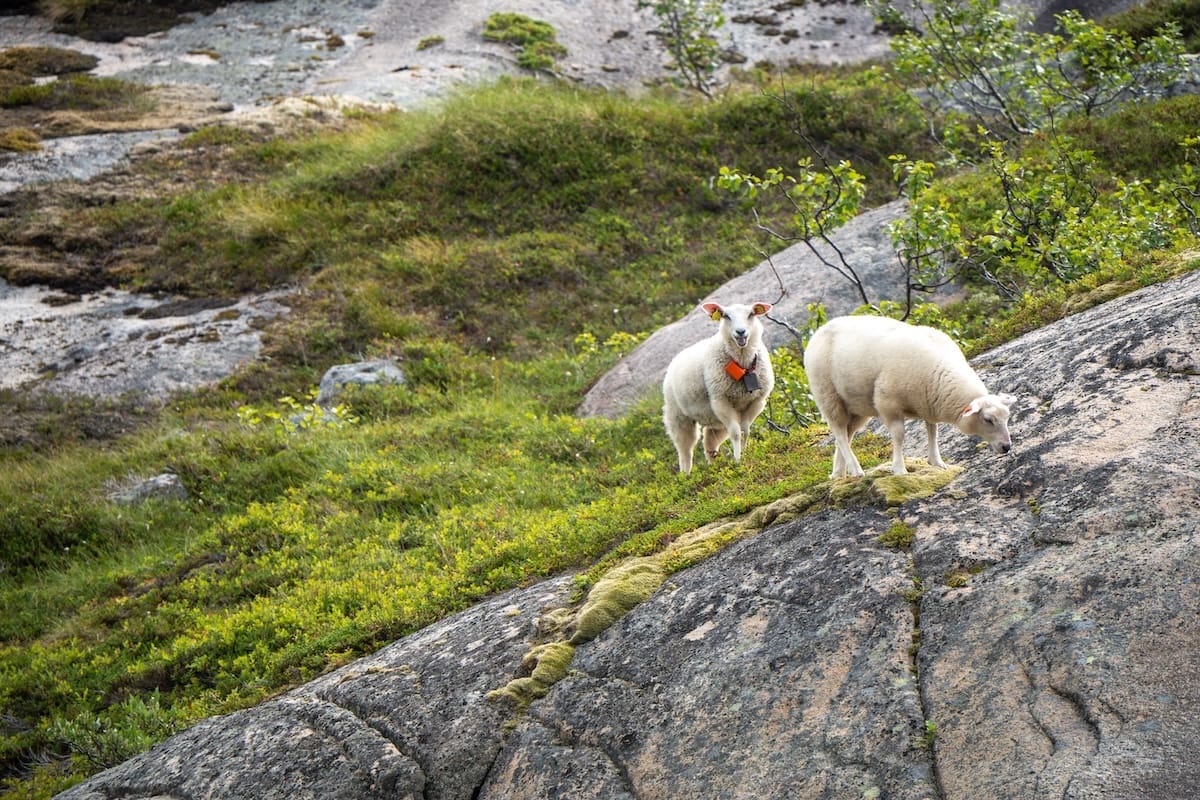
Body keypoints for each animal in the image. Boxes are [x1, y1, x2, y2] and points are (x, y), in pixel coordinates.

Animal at [662, 302, 775, 473]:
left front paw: (746, 453)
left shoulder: (756, 402)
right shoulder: (721, 401)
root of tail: (675, 358)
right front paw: (738, 461)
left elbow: (745, 430)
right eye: (726, 316)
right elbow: (735, 433)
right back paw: (686, 475)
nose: (740, 332)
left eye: (751, 314)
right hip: (678, 416)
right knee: (685, 449)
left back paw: (713, 466)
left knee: (709, 440)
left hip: (714, 418)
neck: (743, 365)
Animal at [803, 314, 1016, 478]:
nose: (1007, 447)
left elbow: (932, 430)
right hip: (828, 395)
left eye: (1007, 418)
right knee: (839, 431)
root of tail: (820, 330)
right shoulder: (887, 402)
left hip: (857, 406)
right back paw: (855, 470)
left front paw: (937, 462)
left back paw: (839, 473)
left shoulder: (928, 402)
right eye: (988, 419)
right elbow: (899, 435)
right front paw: (899, 469)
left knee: (845, 435)